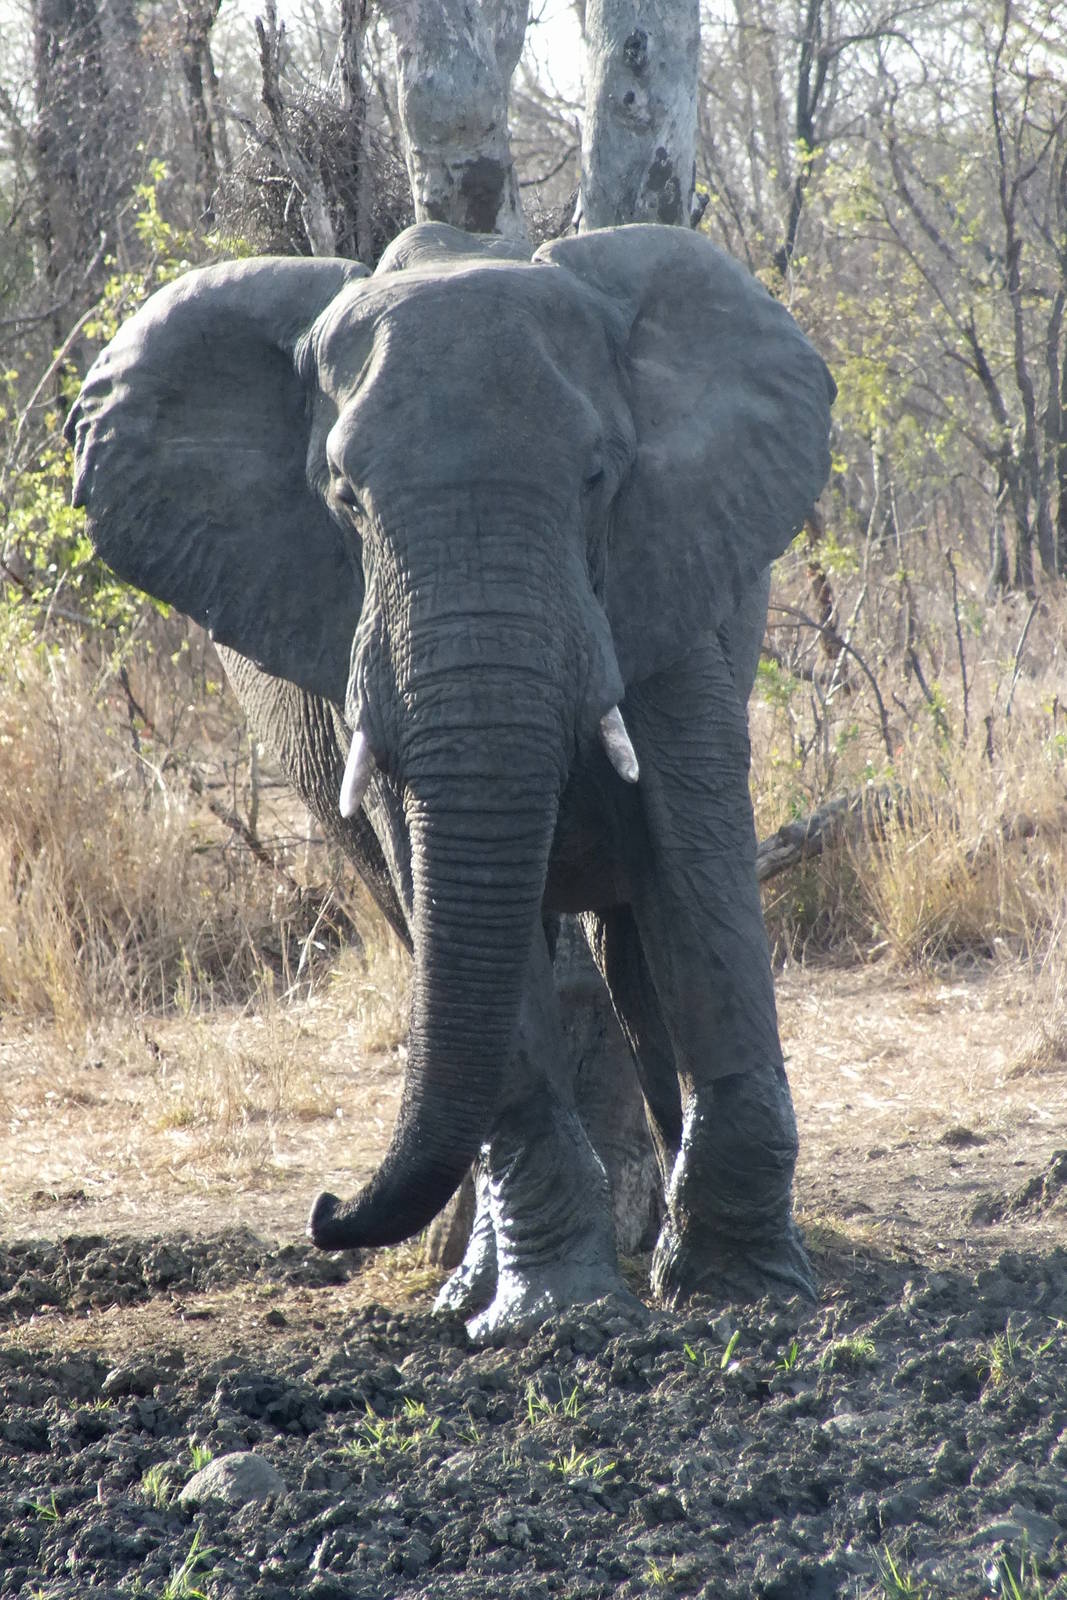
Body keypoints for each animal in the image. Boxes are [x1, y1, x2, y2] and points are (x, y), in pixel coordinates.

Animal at [66, 220, 835, 1338]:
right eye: (344, 498)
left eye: (597, 477)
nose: (325, 1209)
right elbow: (455, 912)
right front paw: (552, 1318)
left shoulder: (679, 572)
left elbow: (696, 873)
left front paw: (748, 1295)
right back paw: (475, 1288)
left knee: (633, 956)